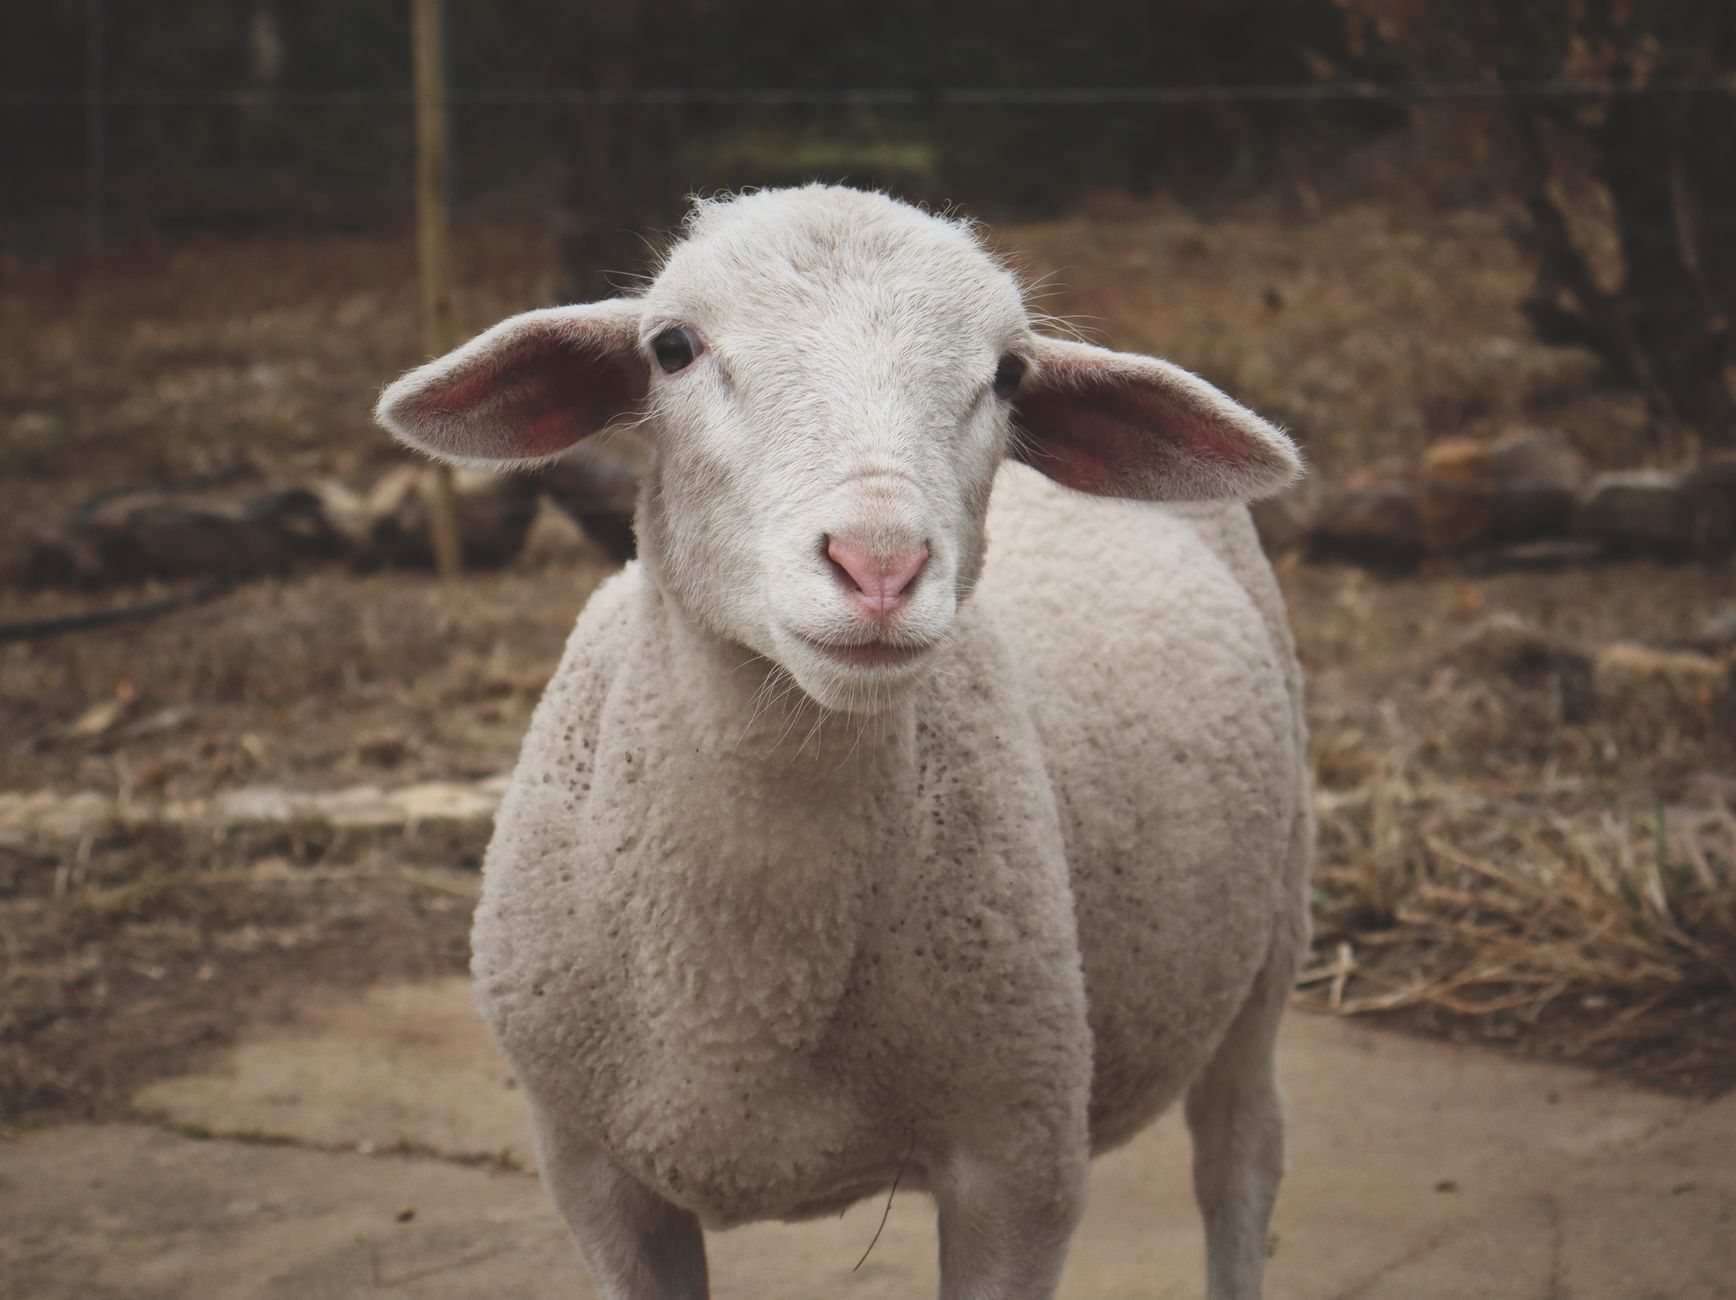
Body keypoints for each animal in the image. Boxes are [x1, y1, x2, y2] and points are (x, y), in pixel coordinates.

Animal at [375, 184, 1311, 1300]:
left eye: (1008, 373)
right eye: (672, 347)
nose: (879, 565)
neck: (738, 1003)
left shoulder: (1021, 1158)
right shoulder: (591, 1174)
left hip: (1271, 934)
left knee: (1240, 1159)